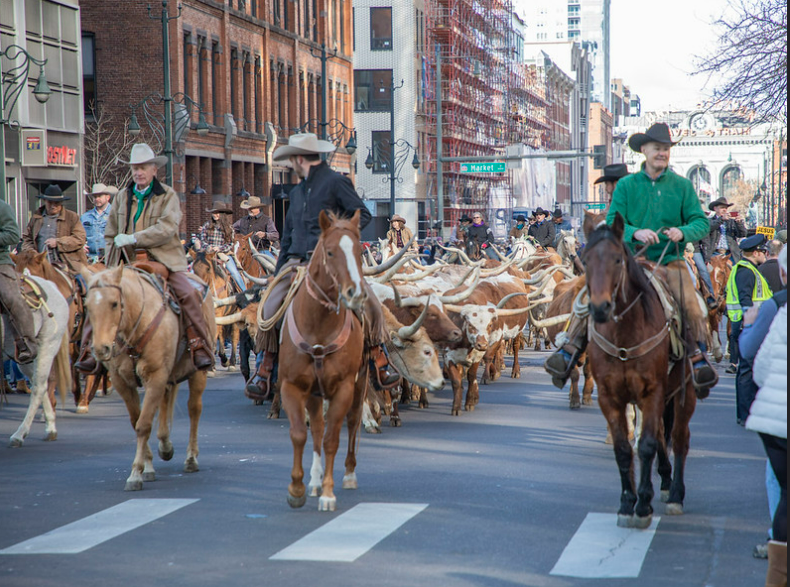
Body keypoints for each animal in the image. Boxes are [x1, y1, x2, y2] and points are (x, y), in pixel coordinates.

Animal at [6, 278, 71, 448]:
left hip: (47, 345)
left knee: (39, 387)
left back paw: (20, 434)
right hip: (26, 356)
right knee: (40, 383)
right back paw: (50, 427)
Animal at [83, 266, 217, 492]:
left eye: (114, 303)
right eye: (87, 306)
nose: (101, 349)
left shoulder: (155, 376)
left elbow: (143, 424)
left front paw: (135, 474)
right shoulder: (122, 382)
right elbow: (136, 421)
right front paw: (147, 466)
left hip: (197, 372)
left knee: (194, 409)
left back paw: (191, 458)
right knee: (165, 401)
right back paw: (165, 445)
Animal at [278, 210, 372, 510]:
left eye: (359, 251)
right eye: (330, 252)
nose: (356, 293)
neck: (318, 325)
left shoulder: (343, 388)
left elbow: (333, 439)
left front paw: (329, 494)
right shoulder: (292, 386)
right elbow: (300, 433)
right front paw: (296, 488)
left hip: (359, 385)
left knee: (352, 423)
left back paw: (349, 474)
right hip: (314, 393)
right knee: (317, 428)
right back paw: (314, 481)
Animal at [580, 214, 700, 532]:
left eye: (617, 259)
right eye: (585, 260)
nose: (600, 308)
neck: (625, 333)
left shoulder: (653, 392)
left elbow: (645, 446)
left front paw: (643, 505)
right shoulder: (609, 398)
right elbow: (624, 449)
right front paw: (626, 503)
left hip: (685, 392)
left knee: (679, 438)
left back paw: (676, 494)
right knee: (660, 435)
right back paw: (666, 480)